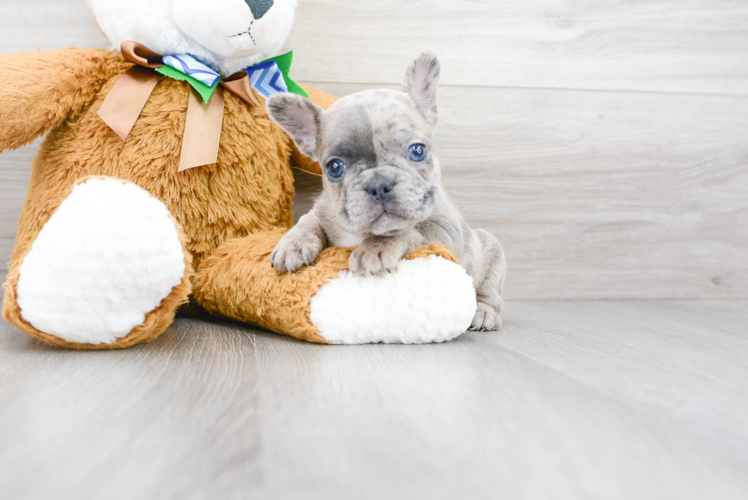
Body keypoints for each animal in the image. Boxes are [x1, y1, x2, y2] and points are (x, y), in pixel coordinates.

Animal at [266, 50, 506, 330]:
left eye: (417, 151)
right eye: (335, 167)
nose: (379, 184)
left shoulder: (444, 231)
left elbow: (408, 230)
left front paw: (375, 248)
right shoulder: (323, 210)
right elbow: (307, 220)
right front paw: (292, 244)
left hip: (491, 254)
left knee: (488, 293)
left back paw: (484, 314)